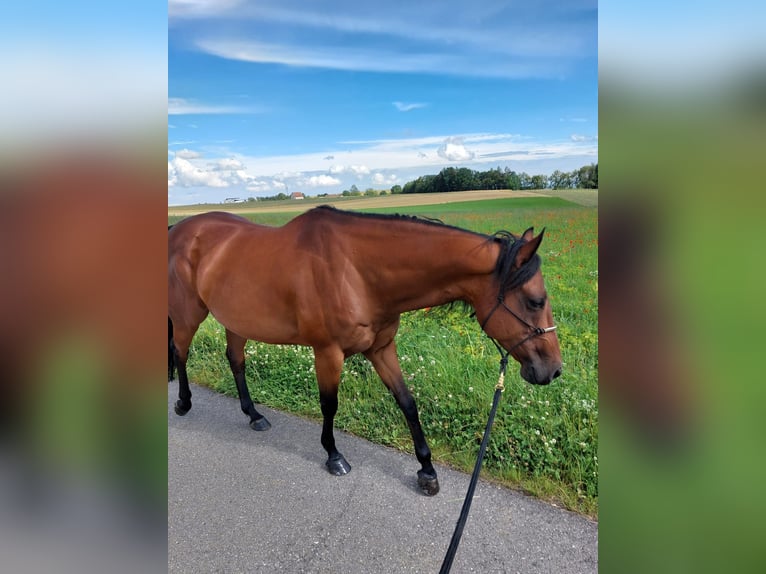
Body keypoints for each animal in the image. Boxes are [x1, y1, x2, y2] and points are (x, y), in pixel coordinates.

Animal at [168, 205, 562, 495]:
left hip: (236, 320)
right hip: (189, 314)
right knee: (181, 353)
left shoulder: (382, 348)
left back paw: (253, 415)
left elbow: (407, 402)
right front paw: (333, 455)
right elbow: (329, 405)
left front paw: (427, 469)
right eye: (534, 301)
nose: (553, 369)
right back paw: (184, 402)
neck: (357, 270)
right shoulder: (327, 352)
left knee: (235, 361)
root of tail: (177, 229)